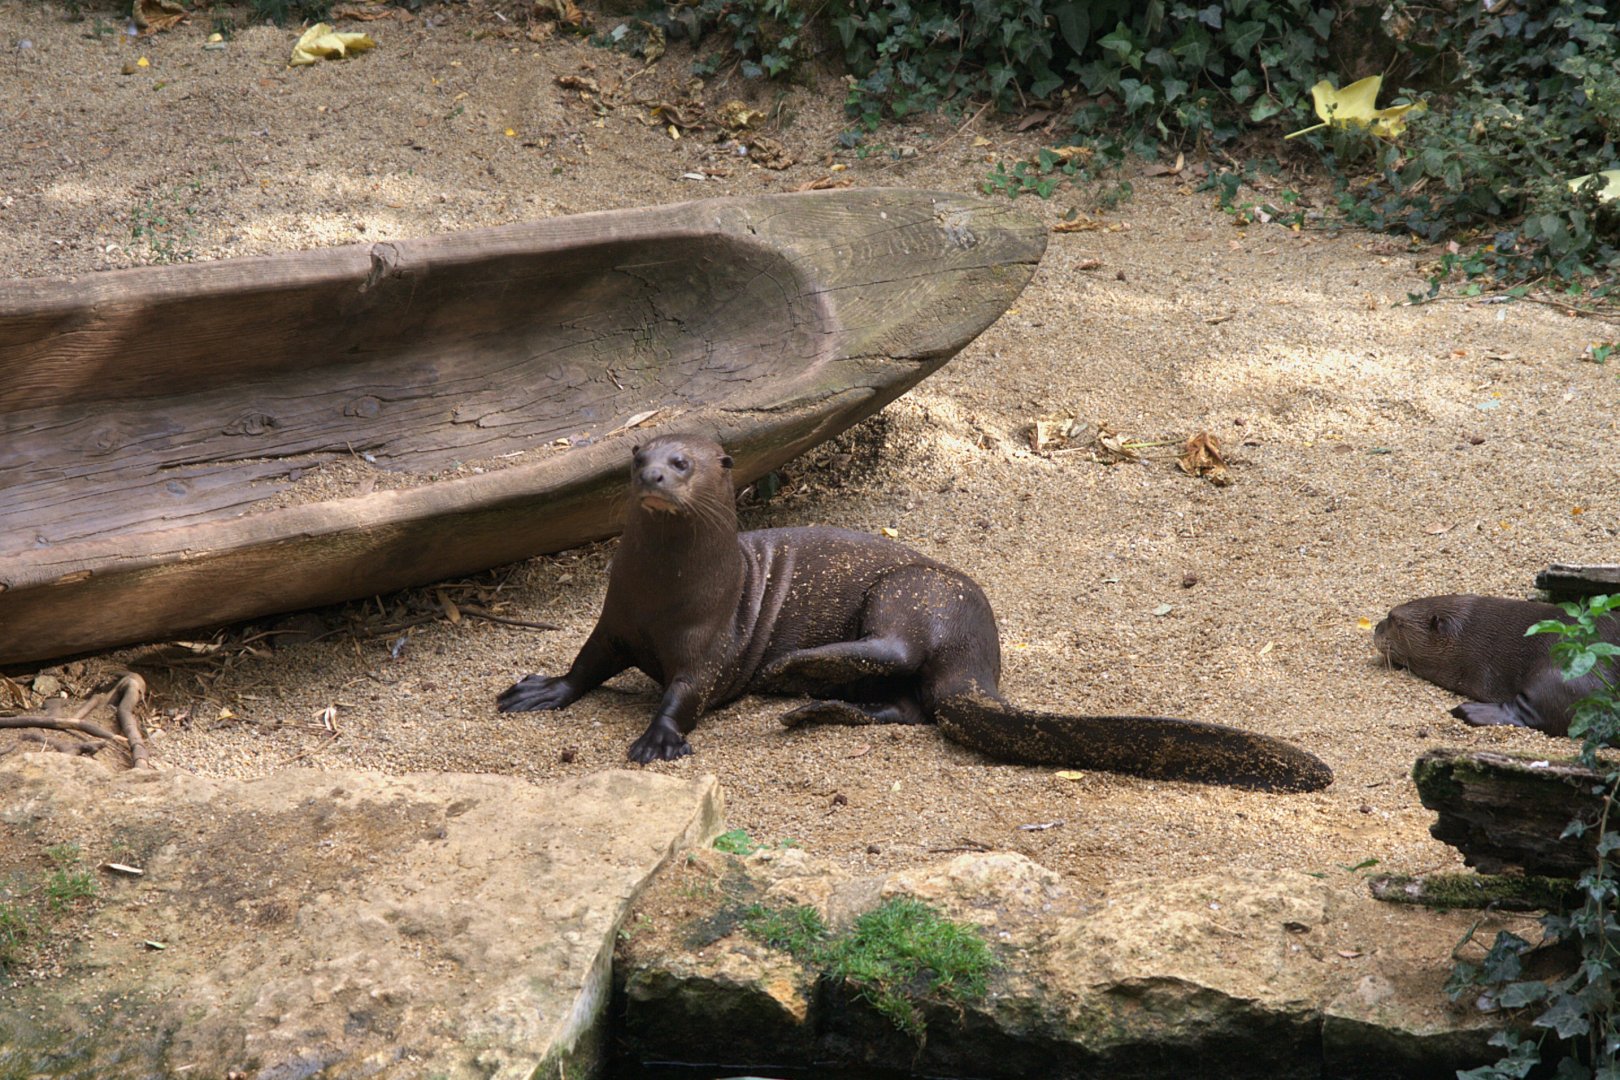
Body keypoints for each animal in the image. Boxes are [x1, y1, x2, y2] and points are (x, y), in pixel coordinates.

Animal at [498, 434, 1333, 792]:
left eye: (683, 463)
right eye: (636, 456)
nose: (653, 478)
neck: (667, 591)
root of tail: (981, 655)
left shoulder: (711, 642)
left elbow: (684, 691)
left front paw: (659, 738)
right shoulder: (616, 618)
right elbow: (586, 662)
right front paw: (539, 690)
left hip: (914, 590)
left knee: (901, 653)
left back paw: (793, 672)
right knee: (911, 706)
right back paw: (821, 706)